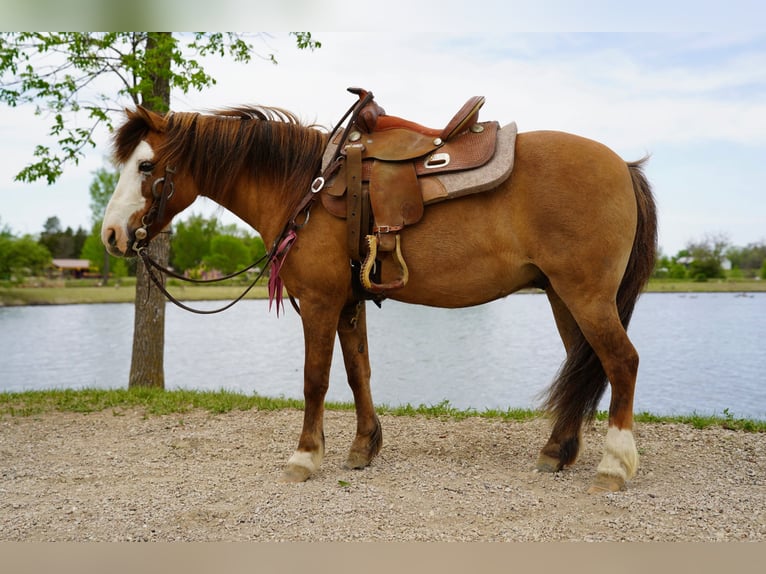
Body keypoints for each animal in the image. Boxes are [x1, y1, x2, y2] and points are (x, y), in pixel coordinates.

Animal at [101, 97, 657, 494]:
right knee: (585, 364)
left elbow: (315, 380)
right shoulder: (348, 302)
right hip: (563, 296)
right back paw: (557, 451)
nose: (110, 235)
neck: (305, 186)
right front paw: (365, 446)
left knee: (622, 362)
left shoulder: (320, 302)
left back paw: (613, 466)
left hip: (586, 295)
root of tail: (623, 165)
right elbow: (357, 373)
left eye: (146, 167)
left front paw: (305, 457)